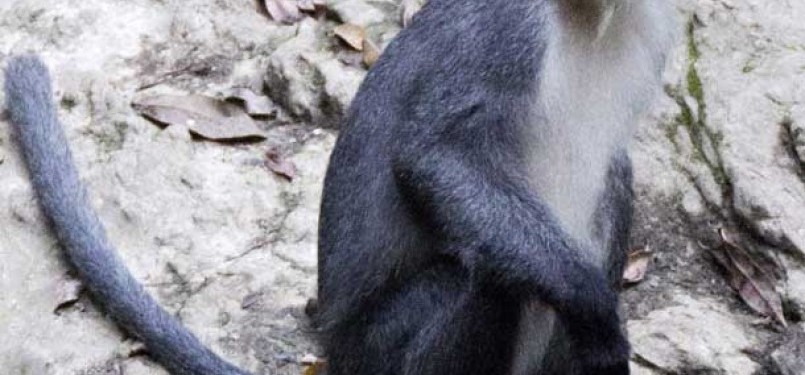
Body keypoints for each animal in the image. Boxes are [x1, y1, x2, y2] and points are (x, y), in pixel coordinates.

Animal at [4, 0, 672, 374]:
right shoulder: (504, 30)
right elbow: (436, 159)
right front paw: (596, 311)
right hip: (381, 354)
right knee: (488, 276)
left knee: (614, 182)